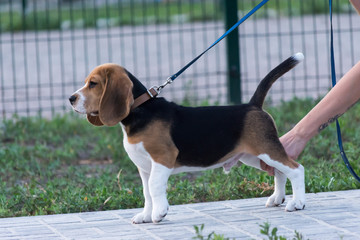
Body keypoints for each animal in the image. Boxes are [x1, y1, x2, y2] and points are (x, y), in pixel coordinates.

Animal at [69, 52, 306, 223]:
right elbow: (146, 192)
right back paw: (277, 198)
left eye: (93, 84)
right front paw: (145, 215)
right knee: (279, 172)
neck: (139, 112)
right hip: (254, 156)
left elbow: (154, 187)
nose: (70, 99)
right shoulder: (144, 167)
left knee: (296, 169)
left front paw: (159, 213)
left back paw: (297, 203)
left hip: (266, 150)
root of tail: (253, 105)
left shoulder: (162, 158)